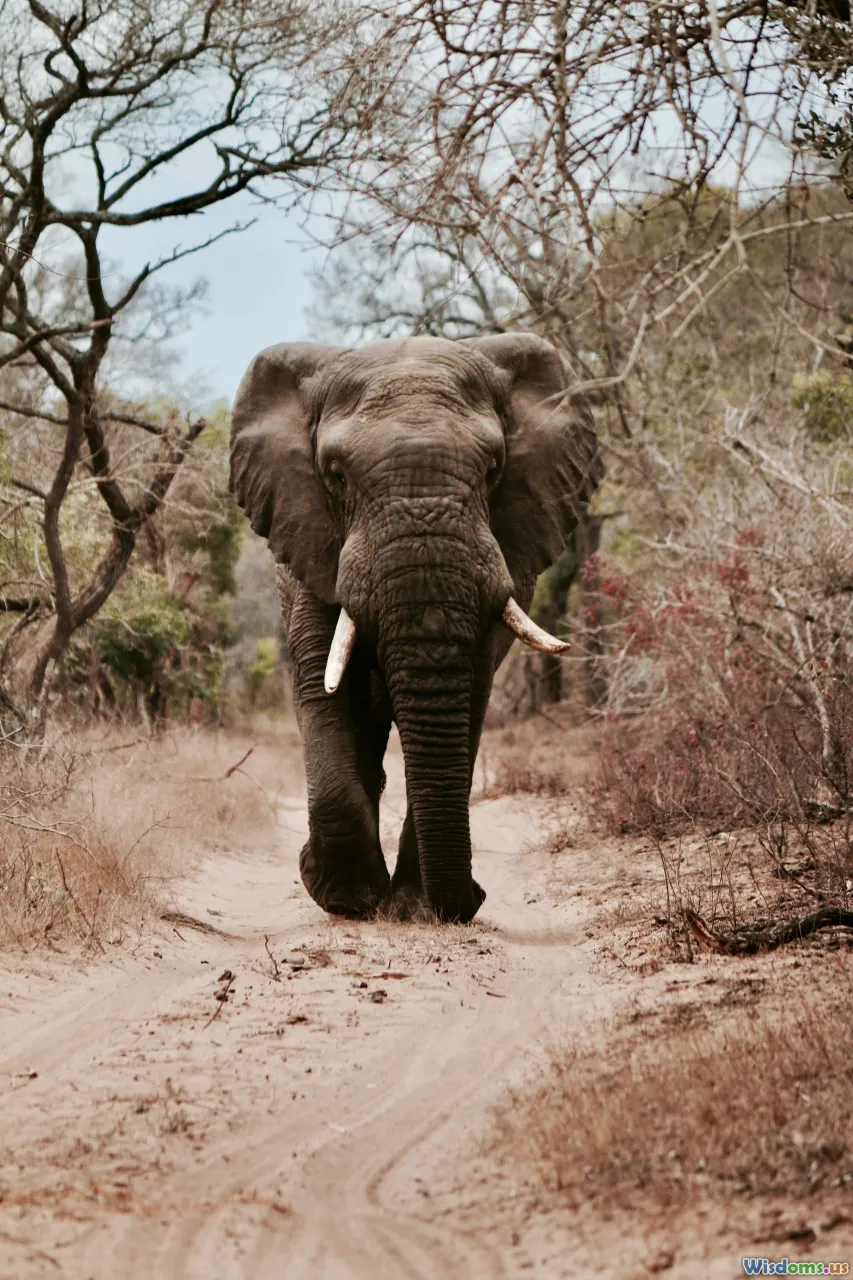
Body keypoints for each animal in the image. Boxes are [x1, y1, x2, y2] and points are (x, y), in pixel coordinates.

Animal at [229, 334, 602, 924]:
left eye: (494, 469)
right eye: (336, 475)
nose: (473, 898)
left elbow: (470, 693)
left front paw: (414, 907)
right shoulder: (310, 542)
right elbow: (323, 684)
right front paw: (347, 899)